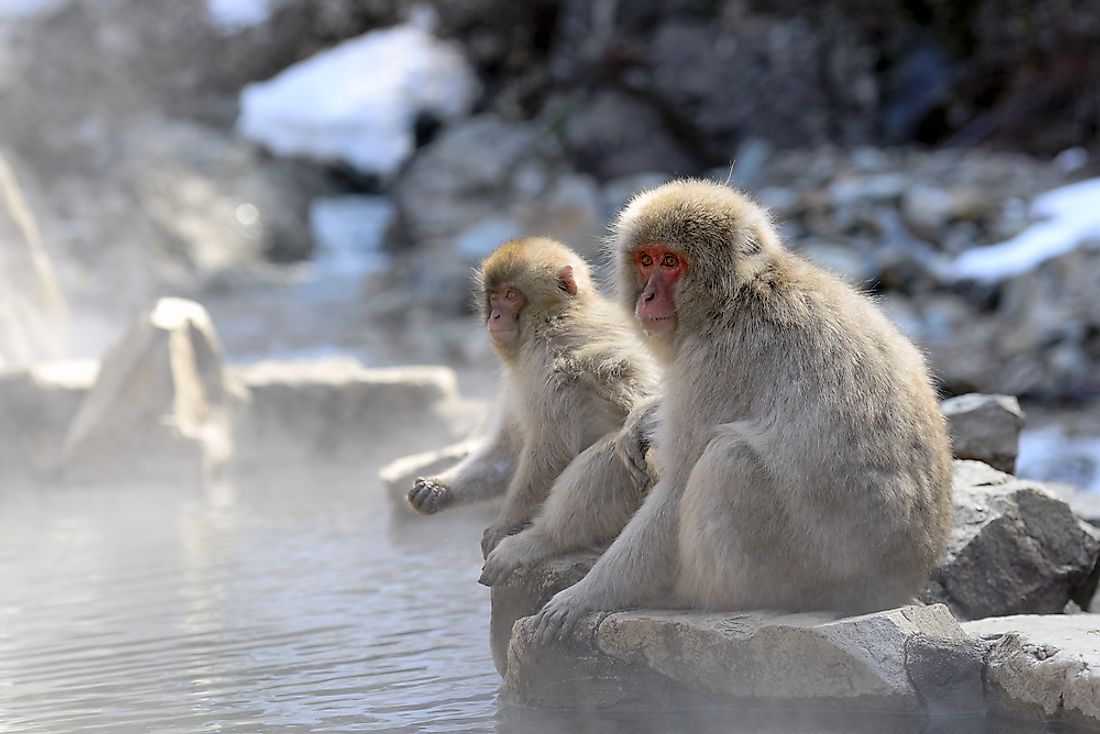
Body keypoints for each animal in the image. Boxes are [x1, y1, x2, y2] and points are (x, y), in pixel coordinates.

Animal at [409, 238, 655, 559]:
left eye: (512, 295)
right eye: (494, 296)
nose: (495, 316)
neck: (553, 316)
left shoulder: (545, 360)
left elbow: (552, 451)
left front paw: (504, 527)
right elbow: (509, 453)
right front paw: (437, 490)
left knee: (616, 446)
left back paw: (542, 540)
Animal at [528, 179, 950, 642]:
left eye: (671, 262)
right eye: (646, 259)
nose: (648, 296)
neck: (738, 296)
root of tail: (903, 580)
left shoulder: (719, 357)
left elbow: (676, 486)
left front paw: (587, 595)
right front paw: (642, 417)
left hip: (815, 570)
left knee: (728, 459)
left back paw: (693, 597)